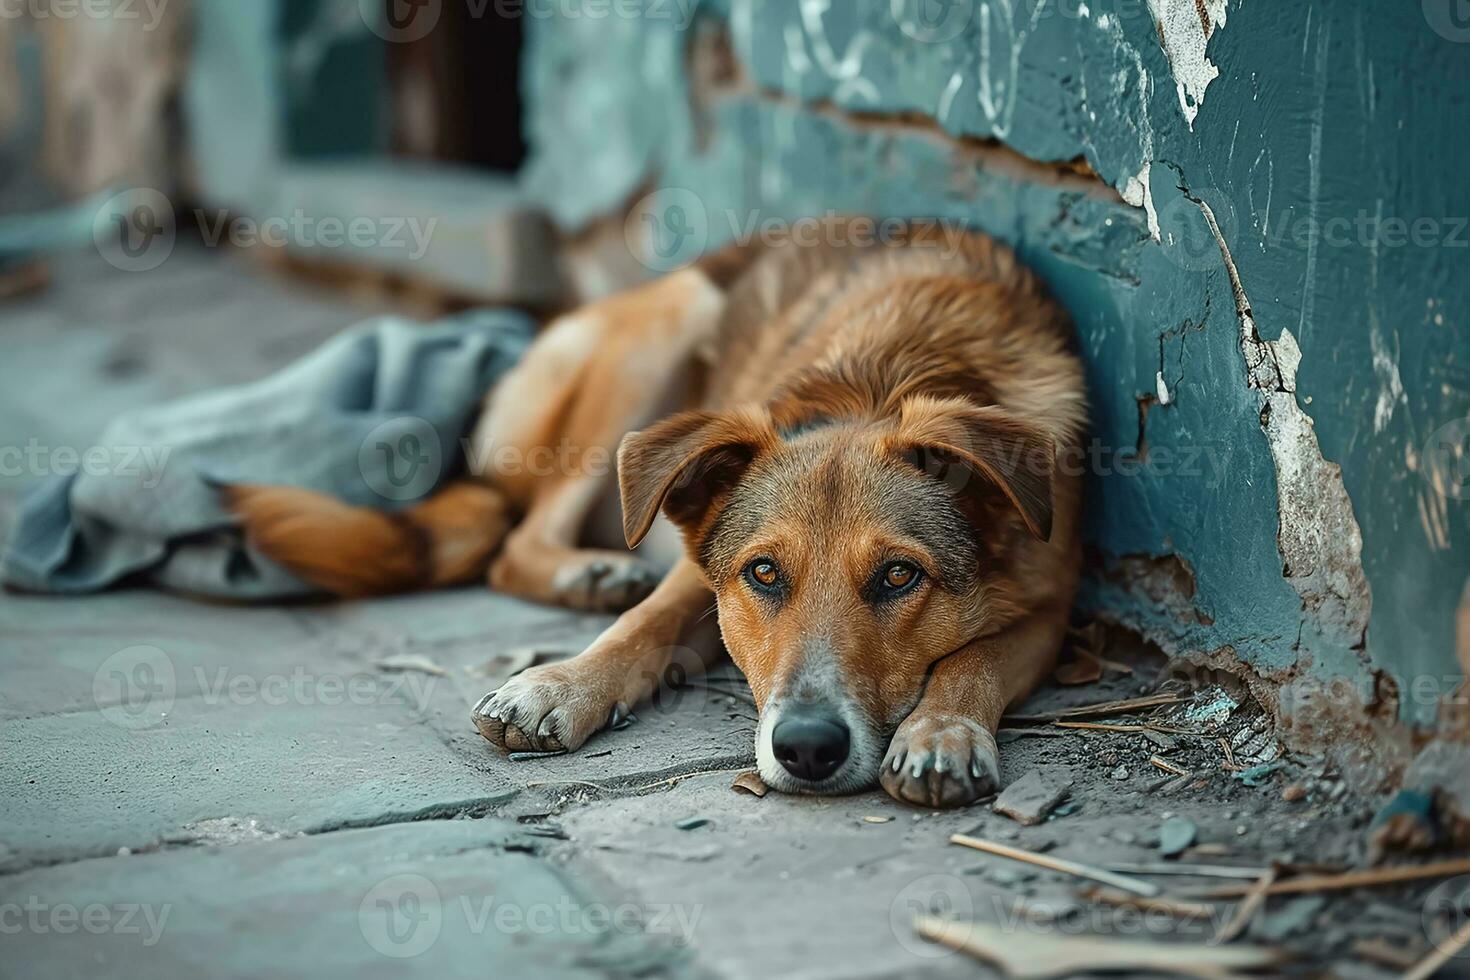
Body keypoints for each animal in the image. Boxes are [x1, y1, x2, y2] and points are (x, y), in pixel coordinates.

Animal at [226, 221, 1081, 811]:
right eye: (763, 573)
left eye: (900, 576)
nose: (806, 750)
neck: (889, 374)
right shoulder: (700, 572)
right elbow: (641, 624)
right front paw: (558, 685)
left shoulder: (1051, 608)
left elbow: (974, 660)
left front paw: (941, 732)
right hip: (656, 338)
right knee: (519, 538)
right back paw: (588, 574)